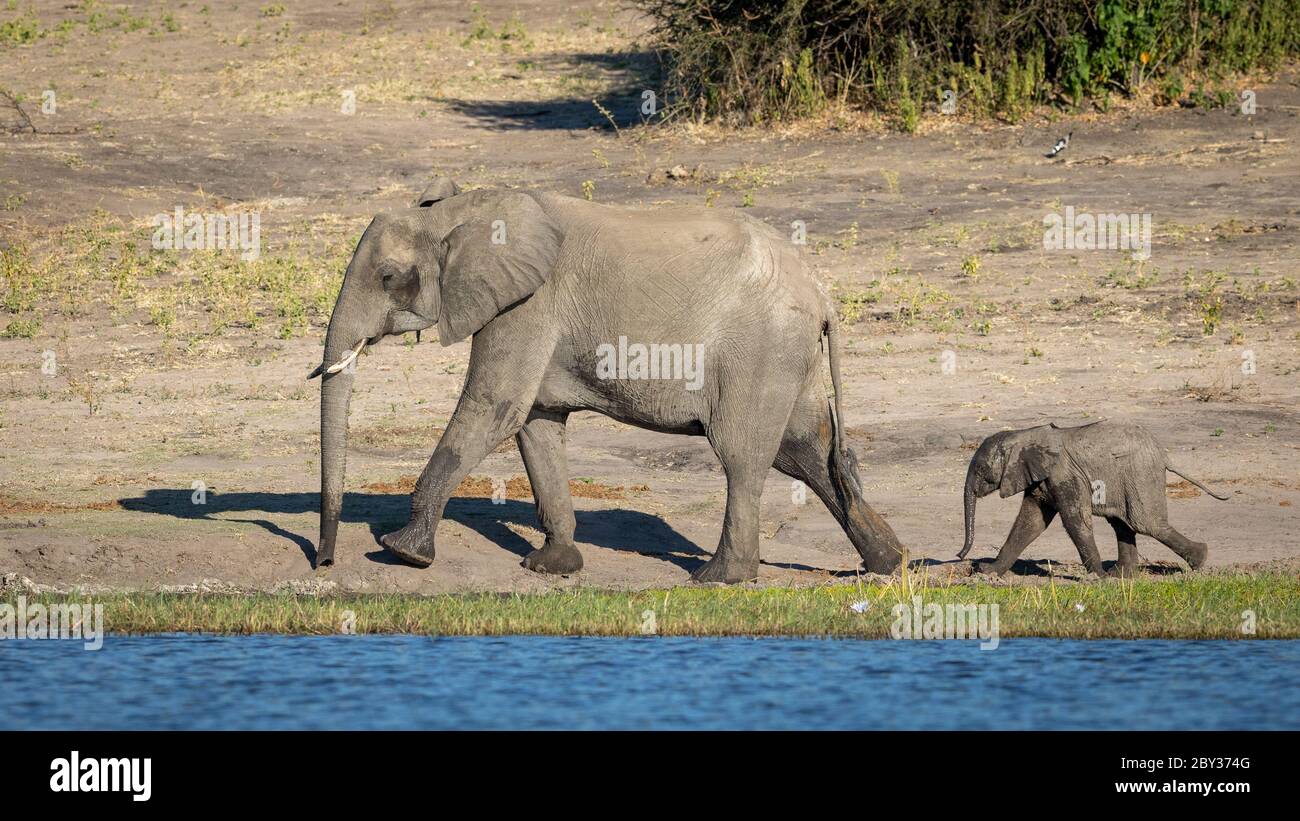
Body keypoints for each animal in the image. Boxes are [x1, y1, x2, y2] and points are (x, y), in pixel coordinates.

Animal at [313, 181, 904, 579]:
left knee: (742, 455)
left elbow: (494, 408)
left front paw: (402, 551)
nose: (323, 563)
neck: (465, 211)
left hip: (759, 350)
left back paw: (719, 579)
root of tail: (823, 293)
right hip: (786, 355)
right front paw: (552, 567)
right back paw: (889, 563)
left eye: (388, 277)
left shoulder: (529, 305)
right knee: (806, 452)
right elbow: (535, 424)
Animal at [956, 423, 1227, 576]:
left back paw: (1199, 560)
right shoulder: (1040, 478)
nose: (960, 556)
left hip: (1140, 473)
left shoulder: (1064, 474)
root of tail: (1164, 454)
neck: (1023, 436)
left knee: (1146, 523)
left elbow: (1075, 520)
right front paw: (987, 573)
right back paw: (1121, 575)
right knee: (1123, 524)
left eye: (980, 469)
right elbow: (1031, 523)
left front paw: (1097, 577)